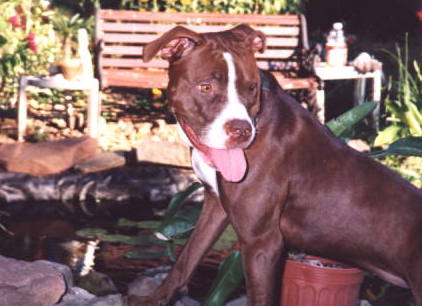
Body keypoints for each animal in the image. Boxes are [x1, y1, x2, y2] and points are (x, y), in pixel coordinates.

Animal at [128, 25, 422, 304]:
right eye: (205, 87)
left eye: (251, 88)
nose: (242, 130)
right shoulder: (215, 206)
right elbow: (186, 258)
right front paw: (154, 299)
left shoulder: (261, 241)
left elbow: (259, 297)